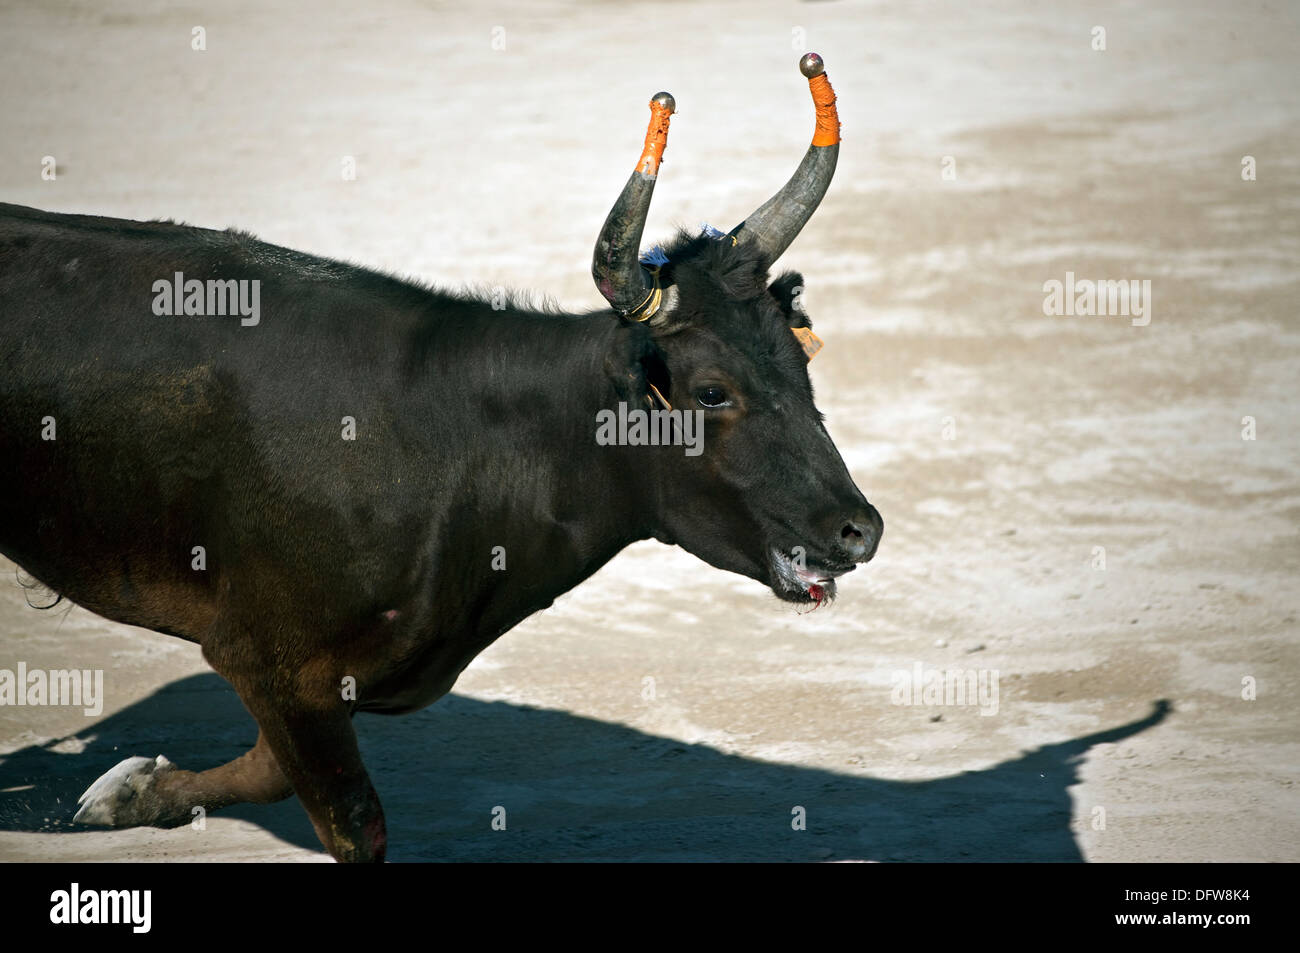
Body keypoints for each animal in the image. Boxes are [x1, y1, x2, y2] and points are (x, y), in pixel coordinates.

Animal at [0, 59, 883, 863]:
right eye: (710, 391)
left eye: (802, 366)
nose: (859, 530)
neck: (458, 447)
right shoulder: (274, 658)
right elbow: (354, 822)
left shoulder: (301, 681)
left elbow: (267, 771)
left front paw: (127, 792)